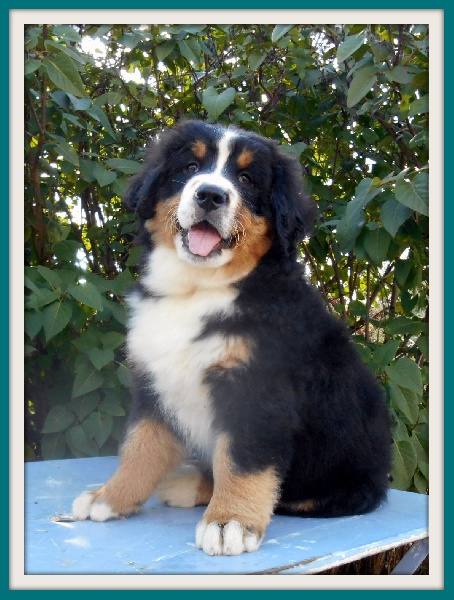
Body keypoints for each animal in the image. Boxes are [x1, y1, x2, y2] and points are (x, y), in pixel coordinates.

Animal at [72, 120, 392, 556]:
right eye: (190, 167)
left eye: (246, 179)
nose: (210, 194)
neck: (197, 290)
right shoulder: (155, 382)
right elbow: (140, 447)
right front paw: (109, 496)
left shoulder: (256, 391)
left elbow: (241, 461)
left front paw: (229, 521)